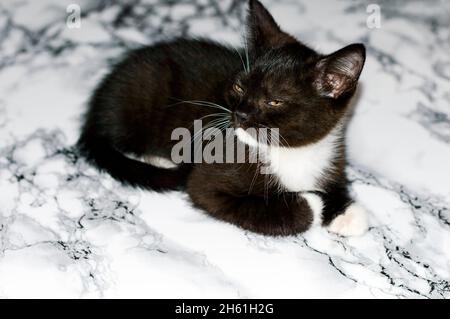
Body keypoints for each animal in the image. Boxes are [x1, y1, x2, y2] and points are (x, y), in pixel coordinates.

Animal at [78, 0, 366, 238]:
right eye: (239, 87)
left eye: (274, 101)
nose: (240, 113)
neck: (289, 152)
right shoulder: (210, 181)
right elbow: (256, 208)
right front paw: (316, 204)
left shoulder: (333, 155)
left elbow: (335, 183)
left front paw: (346, 212)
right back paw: (157, 158)